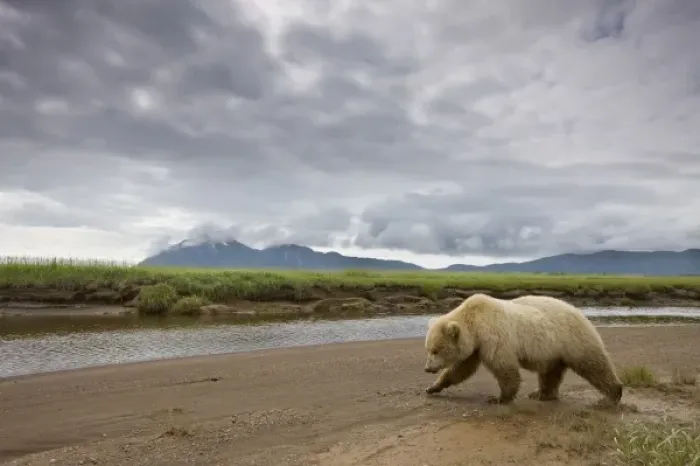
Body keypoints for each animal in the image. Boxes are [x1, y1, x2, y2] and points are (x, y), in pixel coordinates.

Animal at [423, 293, 623, 405]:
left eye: (436, 350)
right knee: (550, 373)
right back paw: (541, 394)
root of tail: (581, 313)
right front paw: (433, 387)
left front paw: (498, 398)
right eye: (428, 349)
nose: (427, 368)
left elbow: (504, 367)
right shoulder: (476, 347)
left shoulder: (494, 337)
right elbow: (461, 369)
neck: (475, 324)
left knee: (593, 365)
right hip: (552, 352)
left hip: (573, 339)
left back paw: (611, 395)